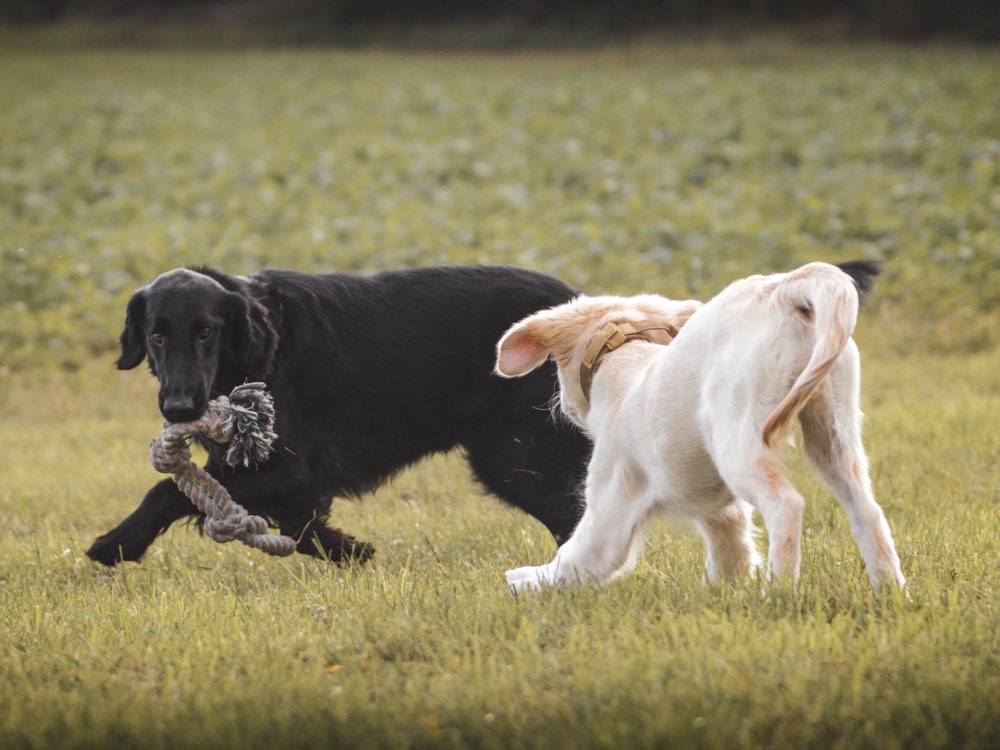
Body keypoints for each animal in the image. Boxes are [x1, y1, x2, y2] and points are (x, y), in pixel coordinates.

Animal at [86, 268, 588, 568]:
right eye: (156, 336)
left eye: (206, 332)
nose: (179, 408)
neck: (258, 353)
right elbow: (295, 524)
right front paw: (348, 549)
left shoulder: (291, 472)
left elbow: (167, 491)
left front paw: (116, 543)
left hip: (515, 461)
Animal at [498, 262, 908, 592]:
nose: (565, 407)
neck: (625, 355)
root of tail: (788, 287)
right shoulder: (721, 512)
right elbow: (733, 555)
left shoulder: (610, 509)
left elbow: (573, 559)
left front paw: (522, 582)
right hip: (833, 429)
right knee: (868, 511)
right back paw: (889, 590)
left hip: (735, 436)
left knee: (786, 505)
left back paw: (778, 593)